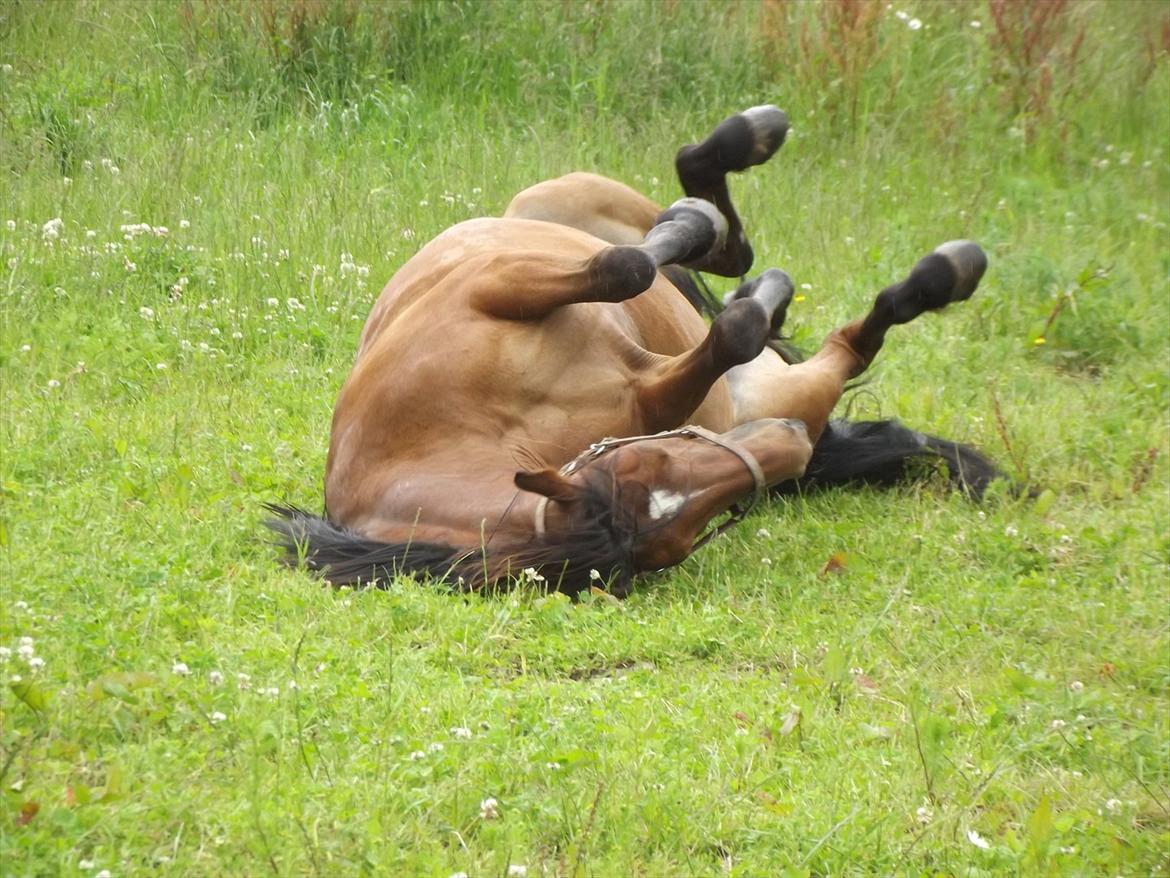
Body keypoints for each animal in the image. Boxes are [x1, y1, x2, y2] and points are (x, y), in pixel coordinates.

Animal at [271, 104, 996, 599]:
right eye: (684, 532)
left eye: (650, 462)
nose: (784, 444)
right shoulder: (653, 394)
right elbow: (715, 332)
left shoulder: (496, 280)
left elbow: (627, 268)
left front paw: (693, 234)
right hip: (784, 385)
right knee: (835, 331)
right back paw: (927, 276)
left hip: (557, 201)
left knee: (709, 241)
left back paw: (733, 163)